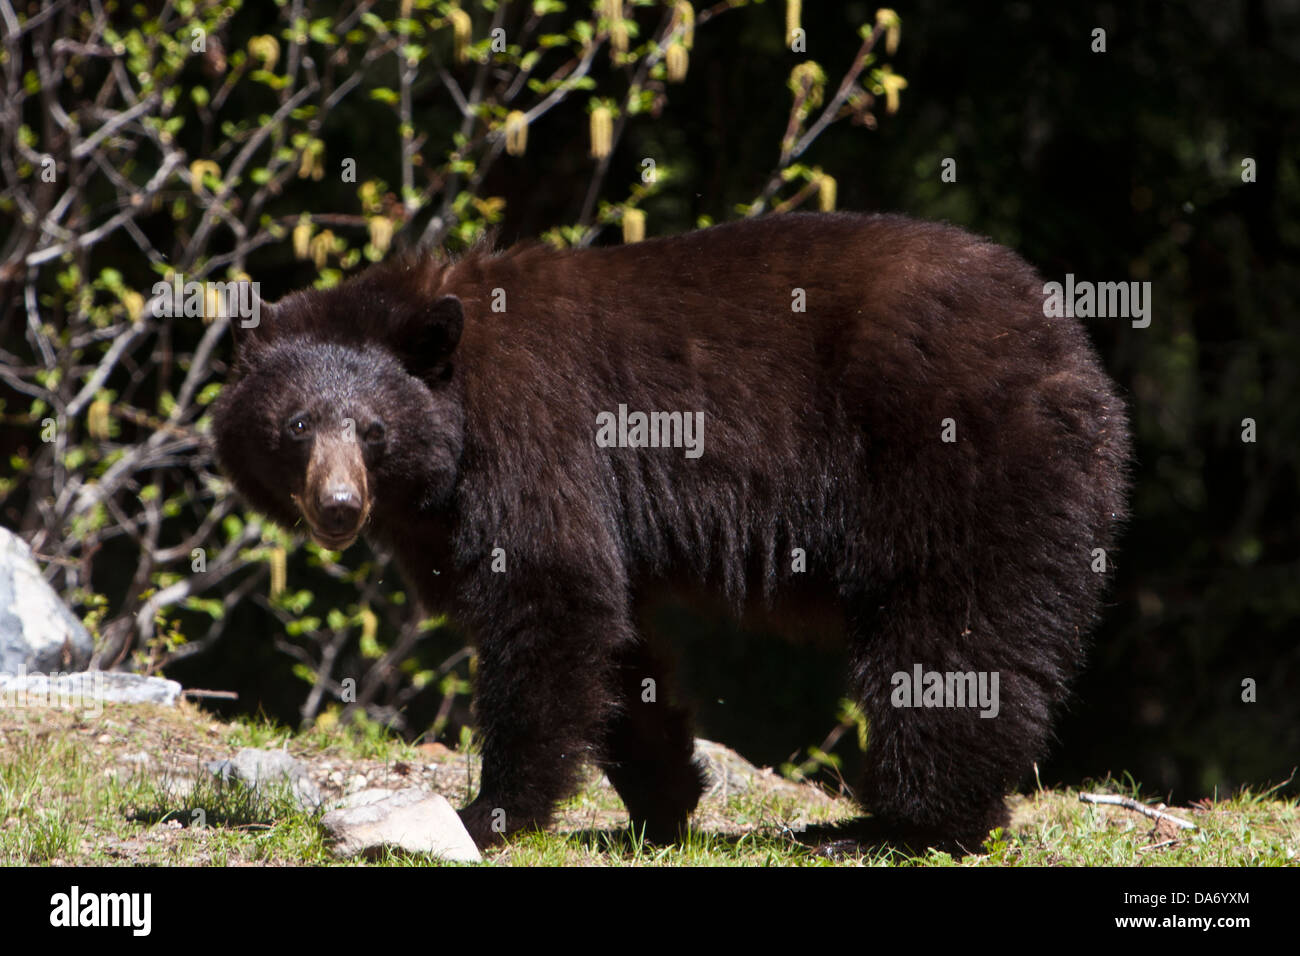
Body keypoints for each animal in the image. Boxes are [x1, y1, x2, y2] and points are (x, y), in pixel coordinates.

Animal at [213, 210, 1128, 853]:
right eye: (297, 425)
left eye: (371, 430)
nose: (338, 505)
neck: (457, 407)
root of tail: (1075, 358)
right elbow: (618, 643)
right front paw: (663, 801)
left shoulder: (533, 433)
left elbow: (552, 594)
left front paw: (488, 813)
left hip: (954, 462)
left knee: (950, 640)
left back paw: (895, 827)